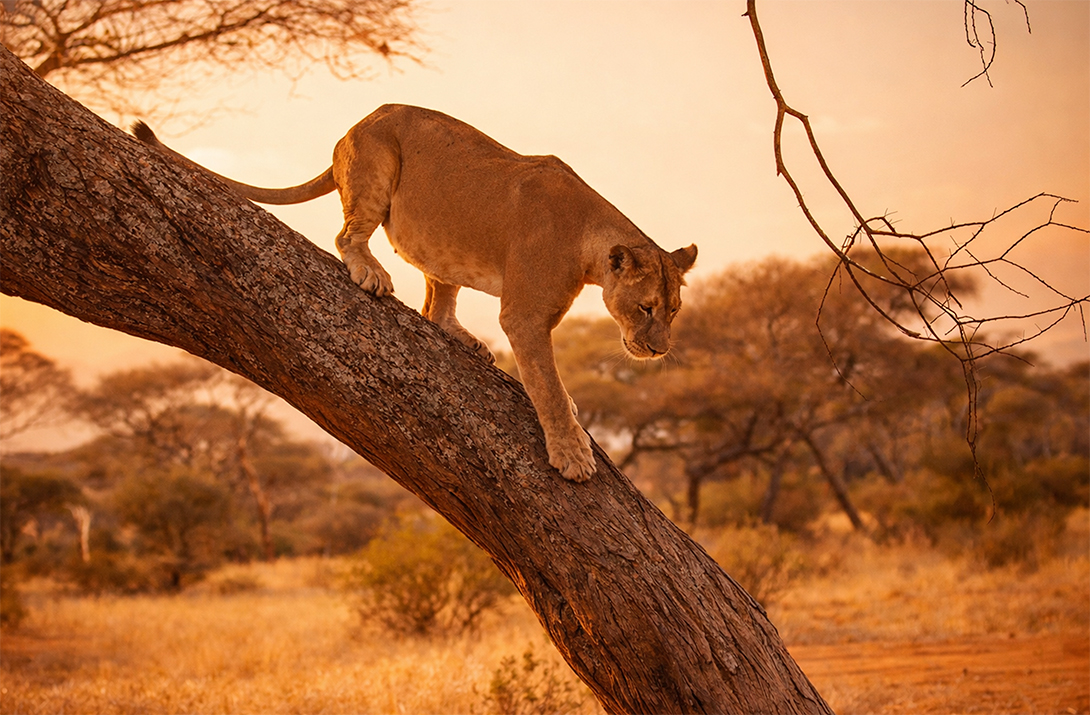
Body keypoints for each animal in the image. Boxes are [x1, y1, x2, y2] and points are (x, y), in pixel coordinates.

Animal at [133, 104, 697, 482]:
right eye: (645, 307)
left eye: (673, 312)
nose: (658, 350)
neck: (589, 246)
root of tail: (354, 126)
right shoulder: (524, 316)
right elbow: (547, 387)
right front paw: (573, 454)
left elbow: (549, 381)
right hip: (377, 170)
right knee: (348, 236)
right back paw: (370, 274)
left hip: (441, 241)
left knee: (435, 309)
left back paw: (467, 341)